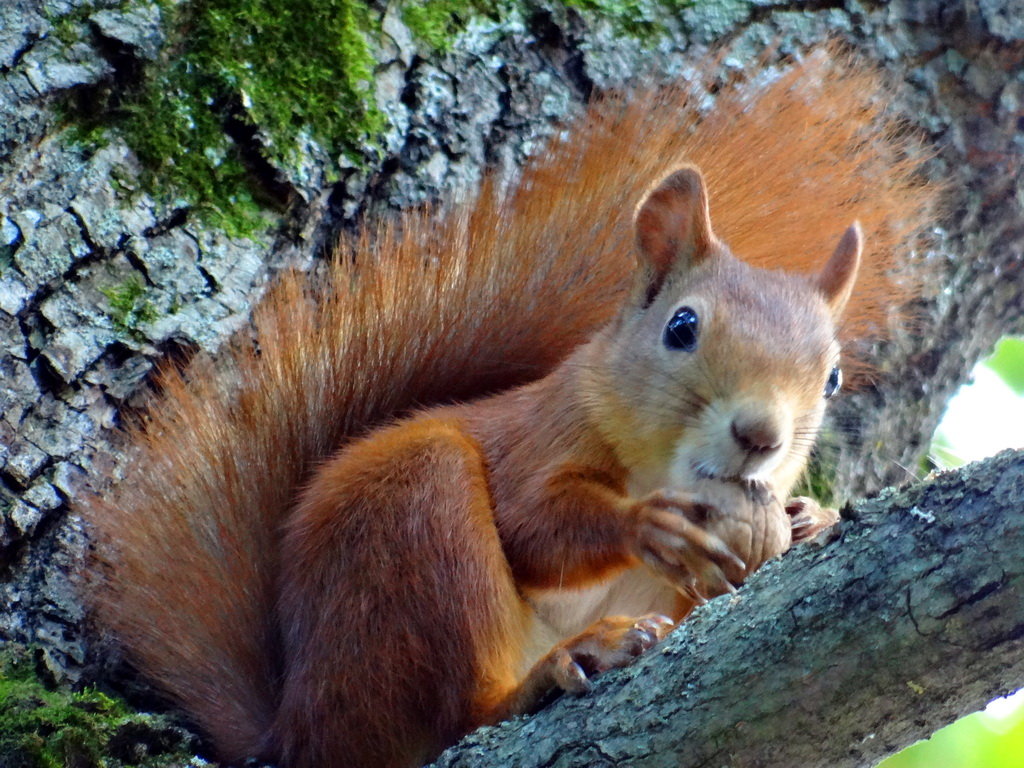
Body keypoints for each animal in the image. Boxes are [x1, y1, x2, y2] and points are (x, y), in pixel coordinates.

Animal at [83, 51, 937, 768]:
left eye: (832, 378)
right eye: (682, 327)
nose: (760, 435)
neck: (658, 462)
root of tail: (293, 730)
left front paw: (807, 518)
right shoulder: (540, 432)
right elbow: (532, 524)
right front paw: (648, 524)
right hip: (412, 533)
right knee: (454, 715)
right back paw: (560, 669)